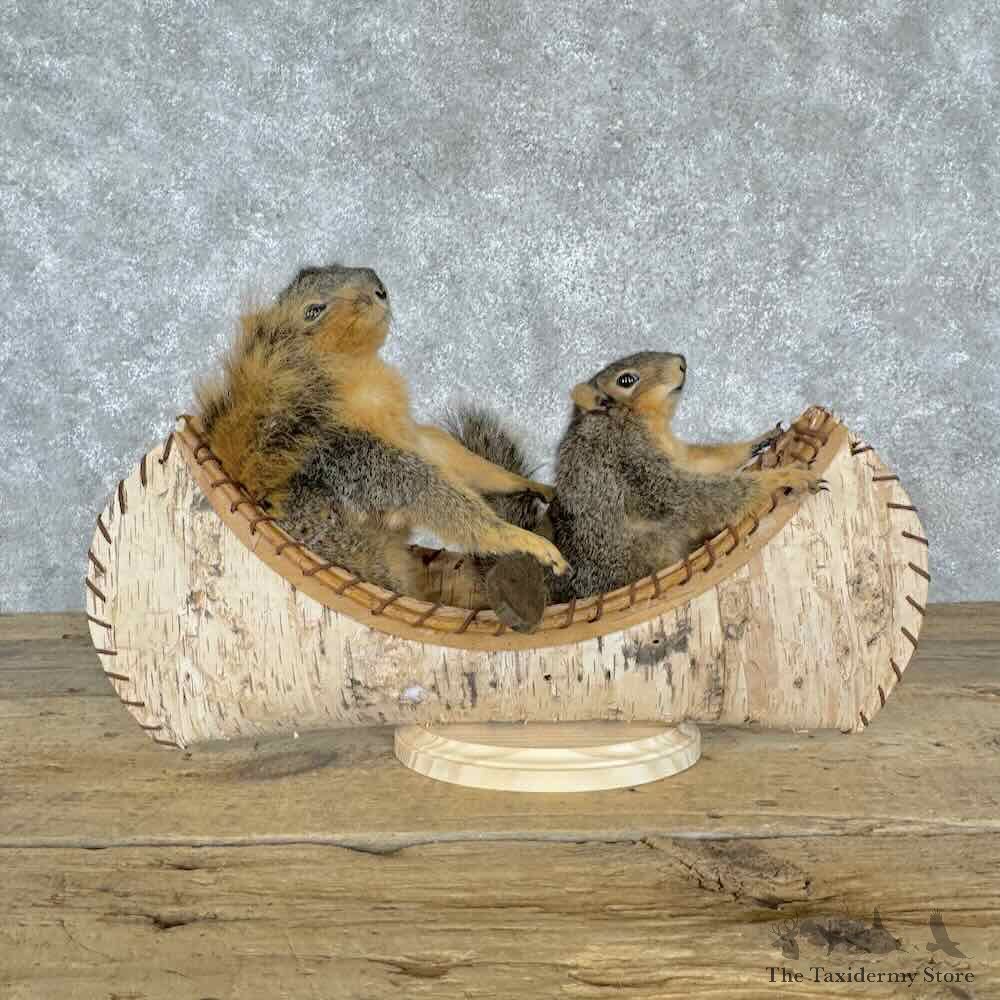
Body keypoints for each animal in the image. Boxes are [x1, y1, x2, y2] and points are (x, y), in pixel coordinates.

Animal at [194, 264, 570, 602]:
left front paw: (532, 485)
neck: (360, 371)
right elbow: (437, 498)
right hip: (359, 550)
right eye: (314, 310)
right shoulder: (356, 458)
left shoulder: (413, 436)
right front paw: (526, 541)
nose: (378, 287)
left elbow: (462, 461)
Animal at [547, 351, 825, 600]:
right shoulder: (629, 460)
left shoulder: (678, 454)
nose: (681, 362)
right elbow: (686, 495)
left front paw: (759, 441)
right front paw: (785, 476)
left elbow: (707, 461)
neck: (638, 420)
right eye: (626, 380)